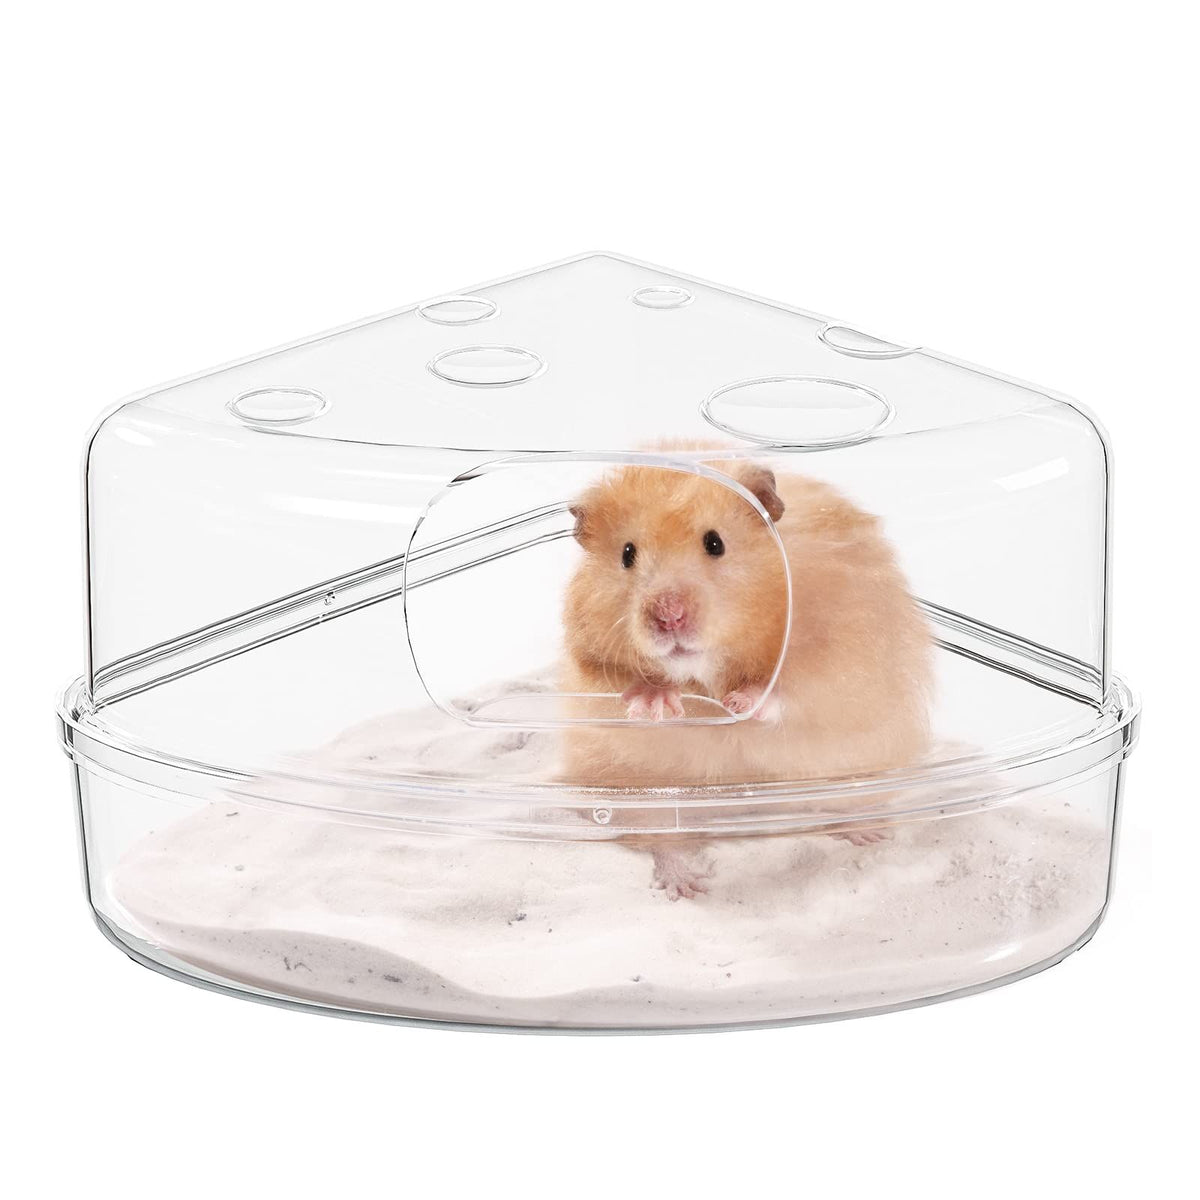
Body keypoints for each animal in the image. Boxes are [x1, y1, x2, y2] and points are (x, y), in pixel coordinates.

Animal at [560, 452, 933, 897]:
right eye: (627, 554)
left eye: (715, 543)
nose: (668, 616)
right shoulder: (591, 665)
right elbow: (620, 685)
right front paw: (657, 704)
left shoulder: (843, 651)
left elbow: (797, 689)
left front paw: (740, 703)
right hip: (641, 797)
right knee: (665, 841)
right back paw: (687, 886)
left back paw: (870, 833)